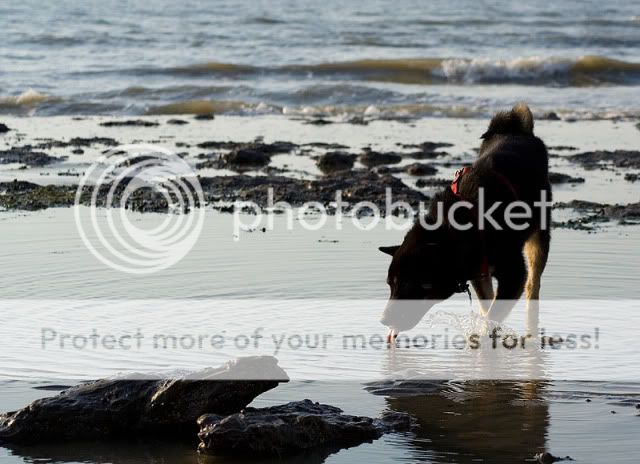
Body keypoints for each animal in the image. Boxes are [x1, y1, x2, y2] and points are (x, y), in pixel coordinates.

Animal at [380, 103, 552, 340]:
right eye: (390, 285)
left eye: (409, 284)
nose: (383, 320)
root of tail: (518, 131)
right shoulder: (478, 273)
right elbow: (487, 306)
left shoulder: (513, 274)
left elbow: (493, 312)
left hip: (539, 236)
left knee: (533, 282)